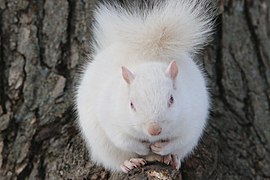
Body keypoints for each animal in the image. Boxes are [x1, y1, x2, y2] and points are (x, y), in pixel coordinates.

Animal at [76, 0, 215, 174]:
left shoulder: (192, 119)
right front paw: (141, 148)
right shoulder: (110, 115)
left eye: (171, 99)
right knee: (116, 159)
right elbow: (123, 139)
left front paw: (163, 148)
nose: (154, 130)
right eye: (131, 104)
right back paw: (129, 162)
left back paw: (171, 158)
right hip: (104, 147)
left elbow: (181, 139)